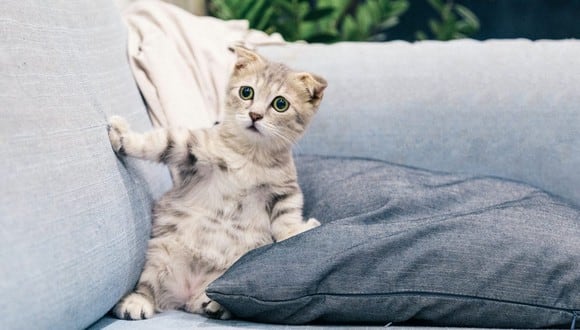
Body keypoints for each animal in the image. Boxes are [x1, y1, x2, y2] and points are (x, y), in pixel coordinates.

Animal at [109, 46, 326, 320]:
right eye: (246, 92)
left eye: (280, 104)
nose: (255, 115)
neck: (251, 155)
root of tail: (186, 293)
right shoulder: (193, 148)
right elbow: (160, 142)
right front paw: (122, 136)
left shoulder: (285, 191)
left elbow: (286, 218)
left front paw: (296, 231)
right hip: (160, 254)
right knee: (148, 287)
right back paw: (136, 303)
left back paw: (212, 304)